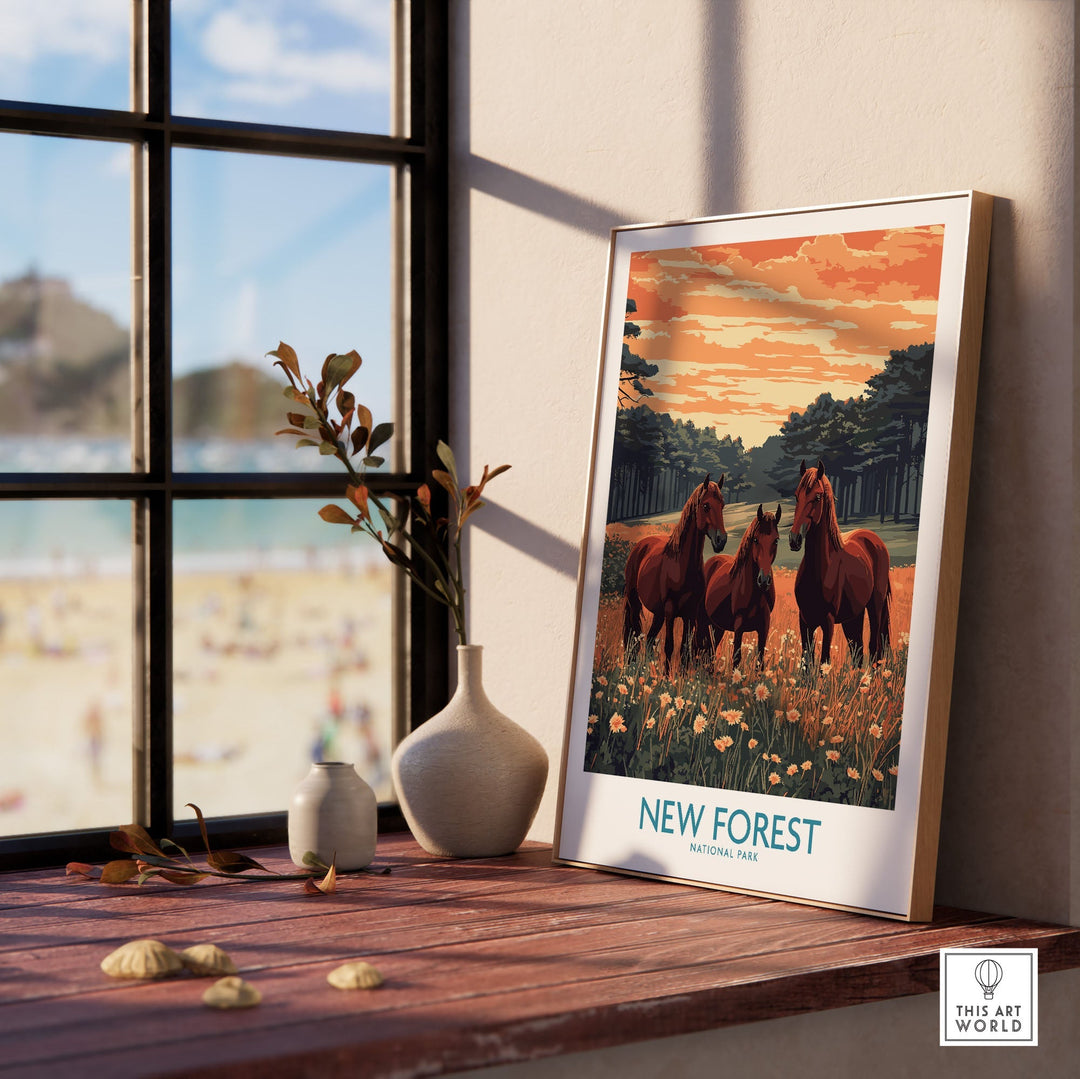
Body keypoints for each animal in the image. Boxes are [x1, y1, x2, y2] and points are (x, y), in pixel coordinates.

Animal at [626, 477, 725, 669]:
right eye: (706, 505)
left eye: (722, 505)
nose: (721, 540)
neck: (682, 566)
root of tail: (640, 545)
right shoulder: (671, 611)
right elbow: (669, 647)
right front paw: (666, 676)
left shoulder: (690, 614)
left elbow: (684, 650)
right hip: (635, 602)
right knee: (633, 635)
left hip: (658, 612)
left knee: (649, 639)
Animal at [704, 503, 781, 665]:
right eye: (756, 540)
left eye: (776, 540)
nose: (763, 581)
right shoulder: (738, 627)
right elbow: (736, 658)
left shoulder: (764, 627)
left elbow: (760, 660)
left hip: (717, 626)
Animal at [790, 462, 889, 669]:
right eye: (796, 495)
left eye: (817, 496)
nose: (794, 539)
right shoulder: (805, 620)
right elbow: (806, 662)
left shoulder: (827, 621)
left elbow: (824, 662)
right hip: (854, 615)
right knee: (857, 649)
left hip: (875, 607)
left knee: (874, 646)